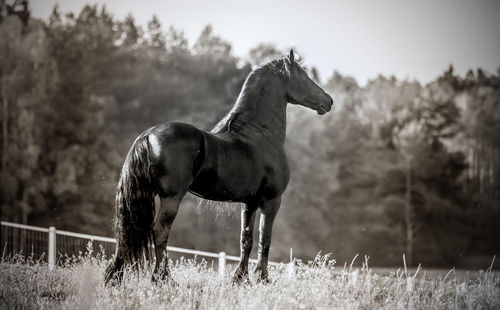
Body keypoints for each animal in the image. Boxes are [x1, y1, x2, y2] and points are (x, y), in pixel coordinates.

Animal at [104, 49, 332, 284]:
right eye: (303, 76)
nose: (329, 101)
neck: (259, 133)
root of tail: (148, 135)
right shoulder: (271, 200)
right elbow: (265, 239)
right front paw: (263, 278)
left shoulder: (249, 203)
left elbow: (246, 239)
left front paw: (240, 279)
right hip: (171, 197)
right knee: (159, 231)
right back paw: (163, 278)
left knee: (129, 229)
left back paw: (116, 276)